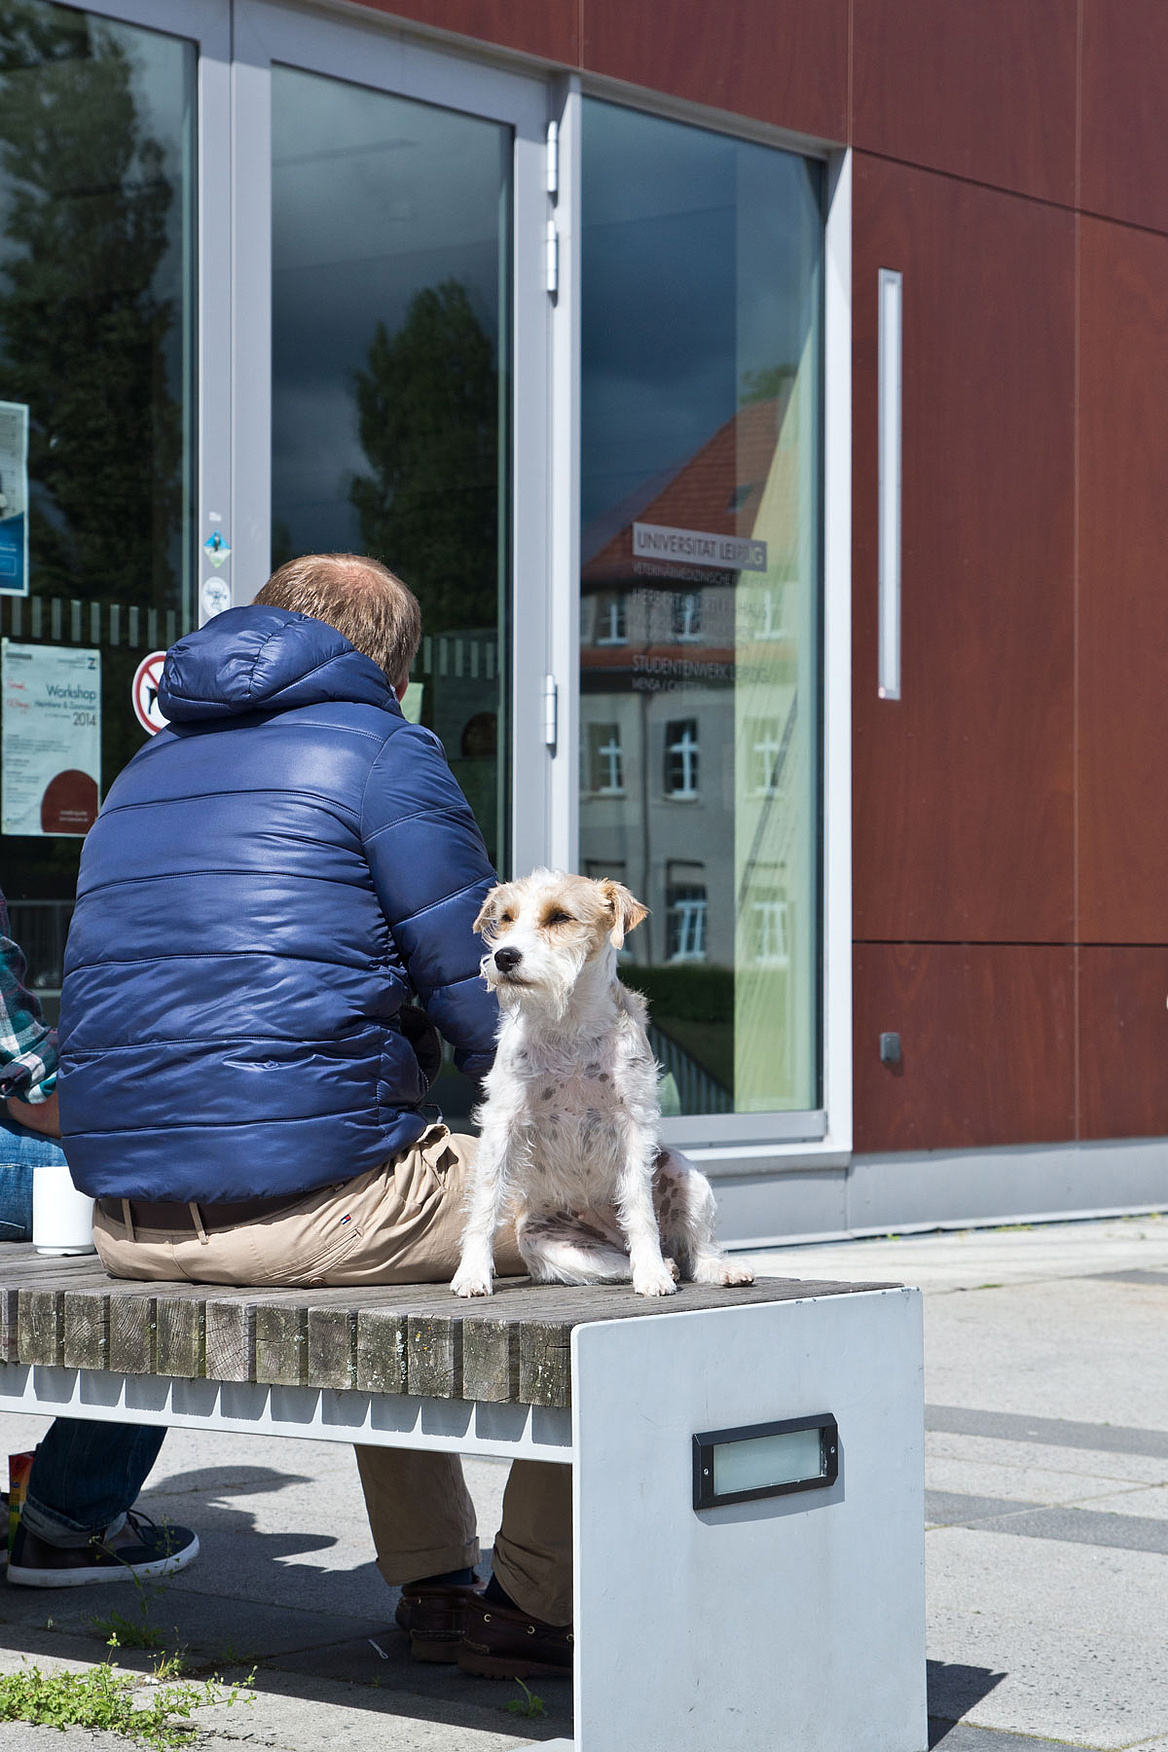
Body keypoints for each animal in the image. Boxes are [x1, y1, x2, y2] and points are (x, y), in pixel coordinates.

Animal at [451, 865, 752, 1296]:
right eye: (506, 917)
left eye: (559, 917)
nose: (504, 956)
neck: (570, 1025)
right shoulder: (502, 1122)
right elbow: (486, 1201)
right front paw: (472, 1272)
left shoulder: (633, 1124)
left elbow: (640, 1208)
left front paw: (653, 1276)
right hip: (560, 1250)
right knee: (622, 1263)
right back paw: (661, 1264)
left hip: (687, 1178)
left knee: (698, 1253)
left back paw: (708, 1268)